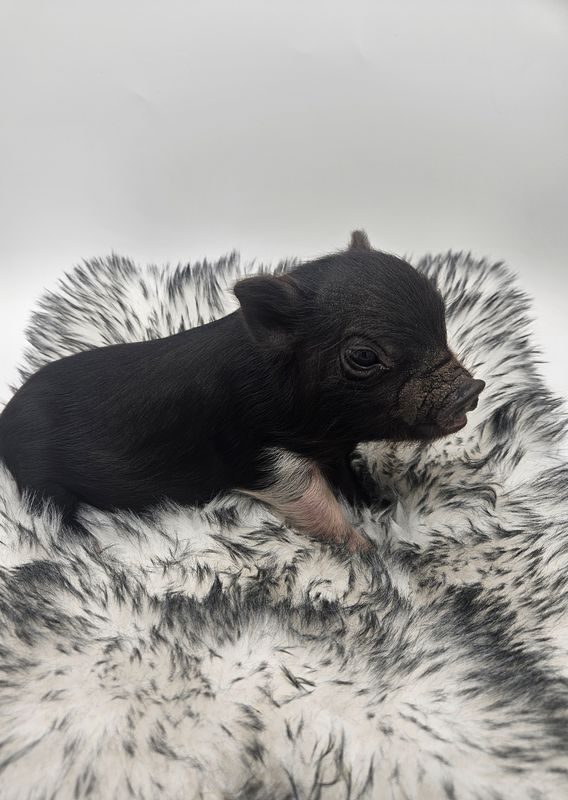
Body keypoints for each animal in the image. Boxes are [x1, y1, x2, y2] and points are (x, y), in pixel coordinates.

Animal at [0, 231, 484, 552]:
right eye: (363, 356)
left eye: (441, 319)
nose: (470, 389)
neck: (319, 432)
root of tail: (6, 417)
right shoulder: (256, 455)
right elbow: (312, 503)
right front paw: (370, 551)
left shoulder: (334, 448)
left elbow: (349, 481)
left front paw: (380, 503)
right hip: (38, 476)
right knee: (50, 512)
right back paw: (85, 541)